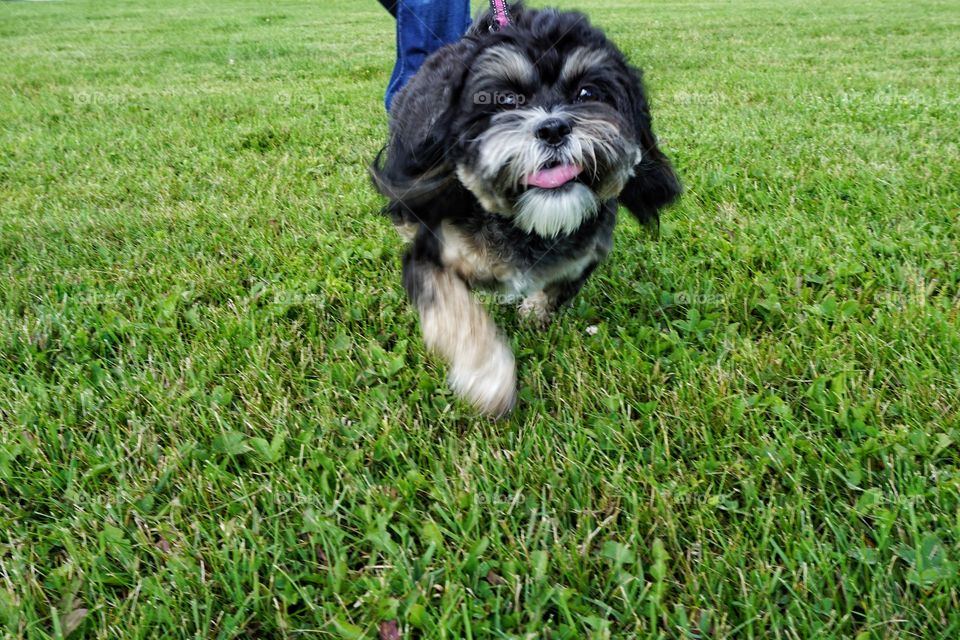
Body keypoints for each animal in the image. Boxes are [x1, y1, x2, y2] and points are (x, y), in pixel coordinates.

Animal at [372, 2, 680, 418]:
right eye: (505, 101)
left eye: (587, 92)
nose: (554, 128)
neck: (525, 227)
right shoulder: (430, 255)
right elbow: (454, 308)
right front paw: (487, 376)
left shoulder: (585, 255)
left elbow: (557, 290)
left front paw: (534, 313)